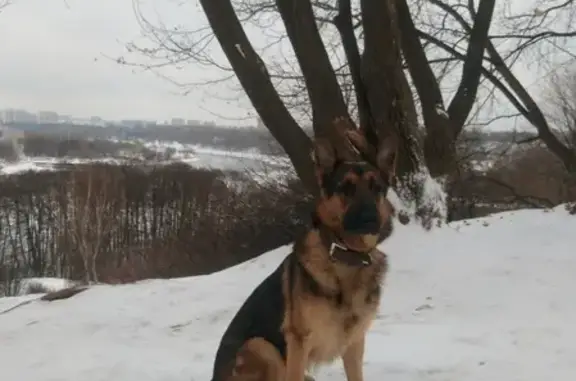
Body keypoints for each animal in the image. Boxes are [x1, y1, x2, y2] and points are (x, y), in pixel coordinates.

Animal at [210, 128, 396, 380]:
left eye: (377, 188)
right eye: (346, 188)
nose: (369, 218)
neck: (345, 255)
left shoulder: (355, 344)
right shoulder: (298, 343)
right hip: (262, 347)